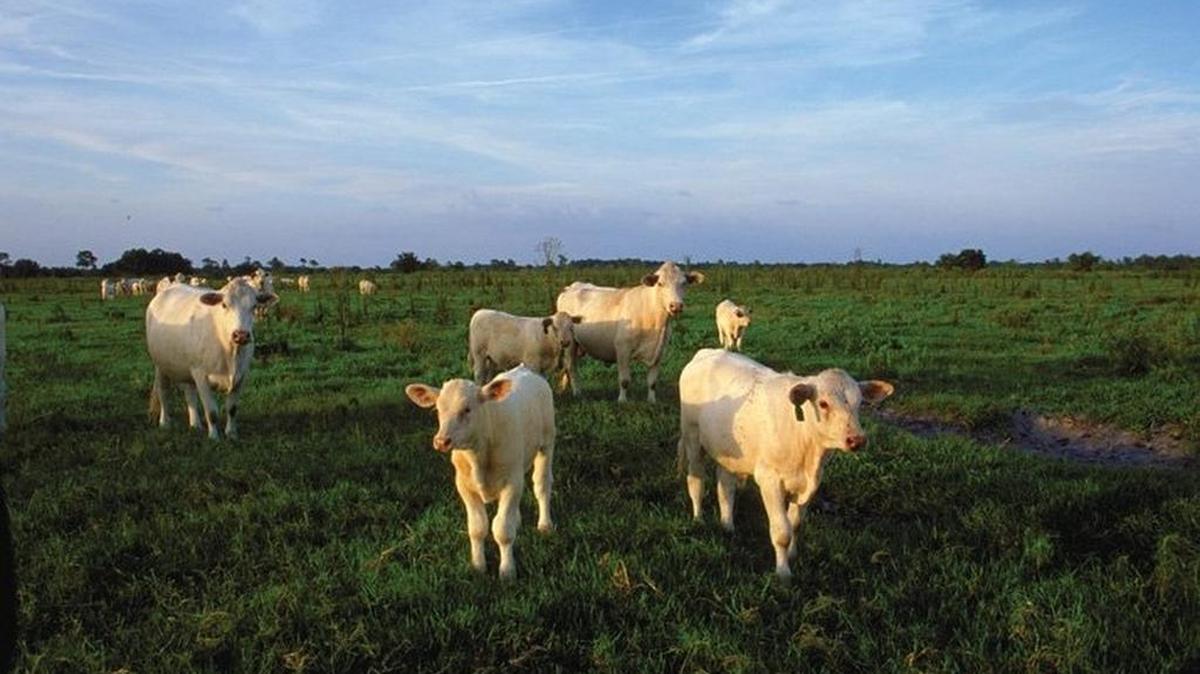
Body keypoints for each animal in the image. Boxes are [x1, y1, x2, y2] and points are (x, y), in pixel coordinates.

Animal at [145, 278, 278, 440]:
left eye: (254, 306)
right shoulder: (201, 375)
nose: (241, 335)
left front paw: (231, 434)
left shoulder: (242, 376)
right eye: (224, 305)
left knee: (190, 394)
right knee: (163, 392)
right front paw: (214, 437)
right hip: (160, 365)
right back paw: (165, 422)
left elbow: (232, 408)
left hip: (188, 366)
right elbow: (212, 412)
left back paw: (195, 424)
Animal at [406, 365, 555, 580]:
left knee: (541, 485)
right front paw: (478, 566)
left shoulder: (511, 482)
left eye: (467, 409)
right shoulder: (464, 486)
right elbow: (477, 528)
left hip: (547, 443)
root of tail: (524, 368)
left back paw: (545, 524)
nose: (441, 441)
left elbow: (502, 530)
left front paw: (507, 570)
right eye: (438, 410)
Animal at [556, 261, 704, 402]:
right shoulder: (622, 348)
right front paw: (622, 400)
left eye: (684, 283)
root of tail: (572, 286)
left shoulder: (659, 352)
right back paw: (577, 393)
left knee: (567, 367)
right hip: (570, 342)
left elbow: (652, 382)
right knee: (571, 367)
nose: (676, 305)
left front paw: (652, 400)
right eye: (660, 283)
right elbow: (624, 380)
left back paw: (563, 389)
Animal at [677, 348, 894, 579]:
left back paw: (727, 526)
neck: (809, 455)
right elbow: (782, 531)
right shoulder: (770, 481)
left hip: (726, 452)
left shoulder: (811, 485)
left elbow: (795, 525)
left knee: (725, 486)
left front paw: (792, 555)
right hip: (692, 438)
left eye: (859, 403)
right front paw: (783, 573)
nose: (857, 440)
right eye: (823, 403)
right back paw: (698, 519)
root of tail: (709, 352)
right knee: (696, 481)